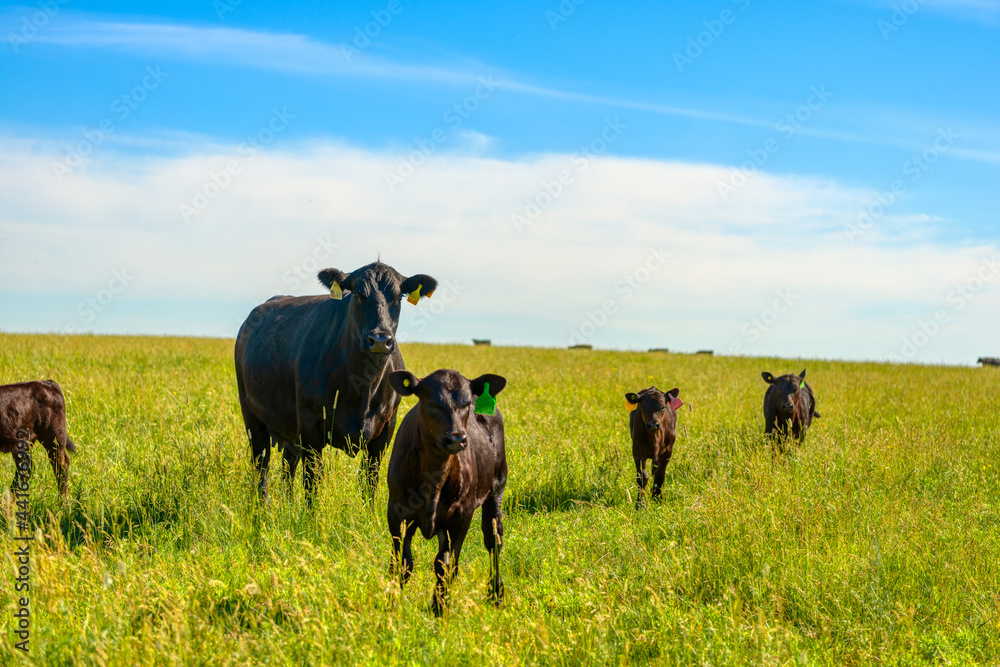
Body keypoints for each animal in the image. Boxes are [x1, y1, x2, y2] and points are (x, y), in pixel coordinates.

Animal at [236, 260, 440, 500]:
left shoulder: (385, 431)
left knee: (288, 464)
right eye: (358, 295)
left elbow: (370, 482)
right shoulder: (310, 427)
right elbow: (312, 482)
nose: (380, 340)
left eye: (398, 297)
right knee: (261, 465)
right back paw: (263, 505)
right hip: (251, 415)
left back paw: (287, 503)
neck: (363, 386)